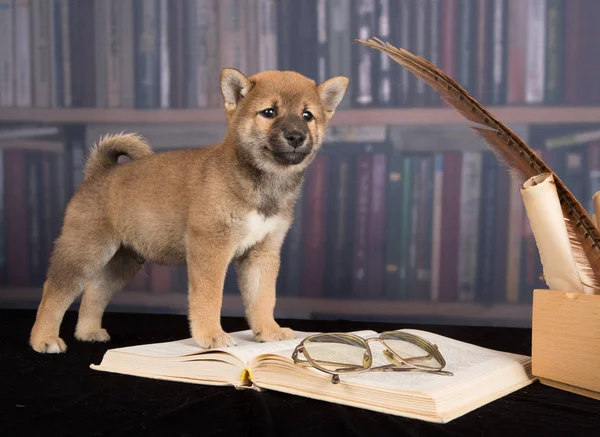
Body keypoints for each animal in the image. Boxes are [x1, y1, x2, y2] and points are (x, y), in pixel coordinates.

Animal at [30, 69, 350, 354]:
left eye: (307, 116)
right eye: (269, 112)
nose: (296, 136)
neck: (259, 181)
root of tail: (98, 174)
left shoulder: (262, 252)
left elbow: (262, 297)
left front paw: (268, 331)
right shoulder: (210, 246)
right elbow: (209, 297)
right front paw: (211, 335)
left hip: (123, 261)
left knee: (94, 293)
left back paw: (88, 331)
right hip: (85, 251)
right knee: (55, 292)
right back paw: (44, 339)